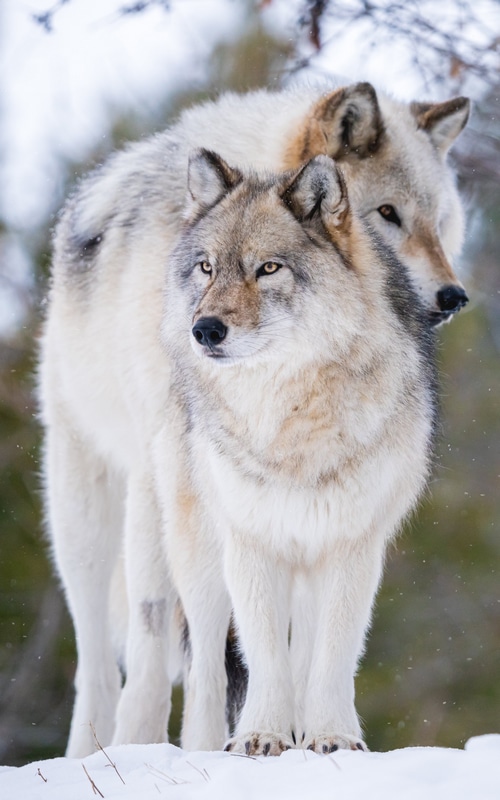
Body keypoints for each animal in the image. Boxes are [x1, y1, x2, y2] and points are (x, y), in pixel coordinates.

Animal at [39, 82, 466, 757]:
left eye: (441, 223)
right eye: (387, 214)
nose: (453, 298)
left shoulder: (337, 524)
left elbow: (313, 646)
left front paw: (314, 733)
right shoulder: (184, 483)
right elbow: (171, 634)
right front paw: (161, 741)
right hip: (90, 509)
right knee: (114, 651)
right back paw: (111, 749)